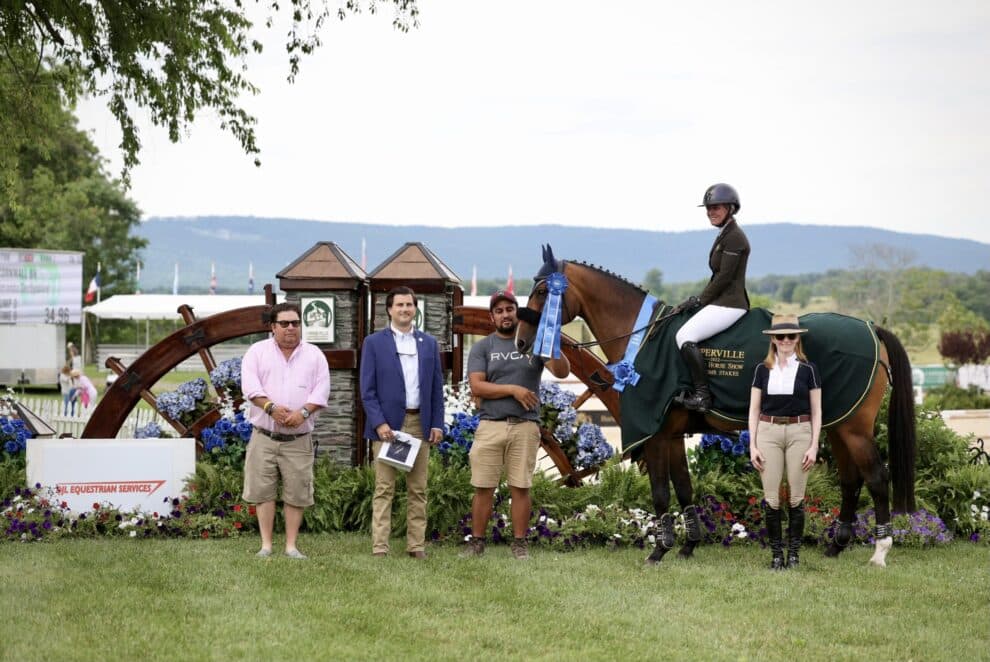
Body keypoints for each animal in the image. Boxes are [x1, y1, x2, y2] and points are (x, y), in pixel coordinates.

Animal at [516, 246, 920, 568]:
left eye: (543, 291)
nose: (521, 341)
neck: (643, 338)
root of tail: (871, 327)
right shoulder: (671, 434)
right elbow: (683, 488)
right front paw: (688, 546)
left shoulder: (655, 435)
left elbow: (661, 492)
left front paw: (659, 551)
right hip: (837, 423)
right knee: (852, 480)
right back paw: (836, 546)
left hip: (853, 428)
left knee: (876, 477)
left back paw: (880, 550)